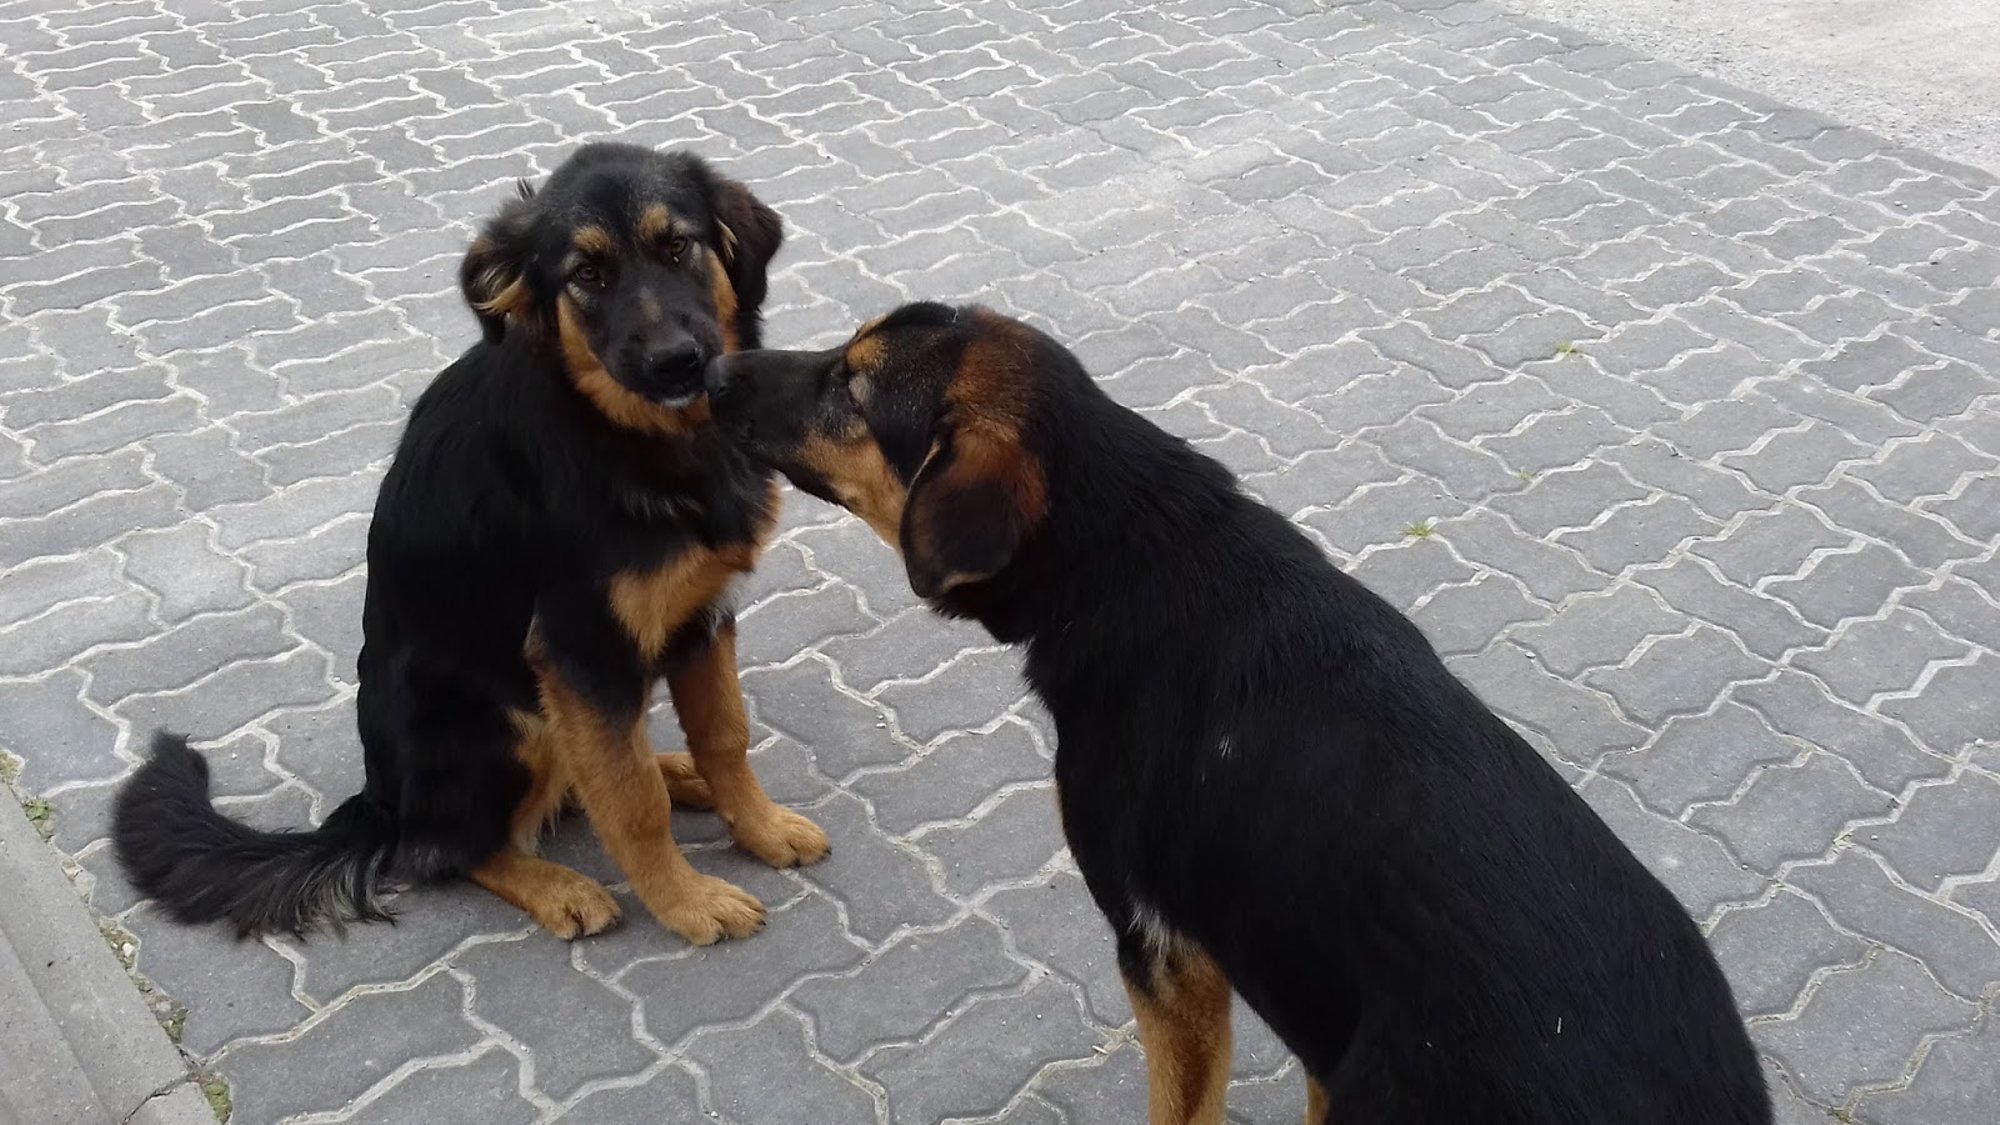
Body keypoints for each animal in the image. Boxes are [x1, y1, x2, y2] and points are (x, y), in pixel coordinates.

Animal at [115, 144, 828, 940]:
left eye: (678, 246)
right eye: (586, 275)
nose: (678, 362)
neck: (630, 436)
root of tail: (382, 804)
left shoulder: (704, 614)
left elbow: (724, 736)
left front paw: (761, 828)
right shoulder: (579, 646)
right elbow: (634, 803)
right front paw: (686, 902)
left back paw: (678, 772)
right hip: (509, 718)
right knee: (450, 849)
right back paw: (559, 885)